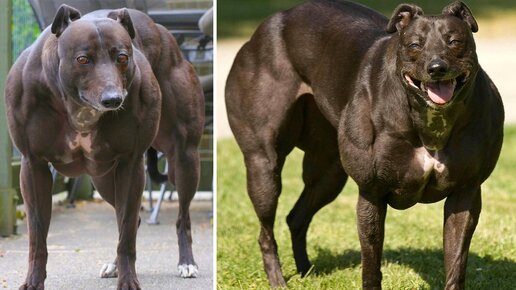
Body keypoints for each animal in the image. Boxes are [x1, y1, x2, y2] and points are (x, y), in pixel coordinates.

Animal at [6, 4, 205, 290]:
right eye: (82, 59)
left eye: (122, 57)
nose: (113, 99)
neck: (78, 107)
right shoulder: (33, 166)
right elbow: (37, 236)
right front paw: (33, 281)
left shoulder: (131, 165)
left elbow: (126, 234)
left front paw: (128, 280)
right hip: (103, 179)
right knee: (133, 219)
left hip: (184, 159)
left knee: (181, 217)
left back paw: (186, 262)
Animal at [226, 1, 504, 288]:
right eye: (415, 45)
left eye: (455, 41)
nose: (437, 67)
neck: (429, 119)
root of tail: (266, 26)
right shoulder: (371, 193)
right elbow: (371, 264)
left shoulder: (465, 193)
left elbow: (456, 265)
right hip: (264, 168)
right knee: (265, 232)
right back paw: (278, 279)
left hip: (329, 174)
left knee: (297, 217)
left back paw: (305, 270)